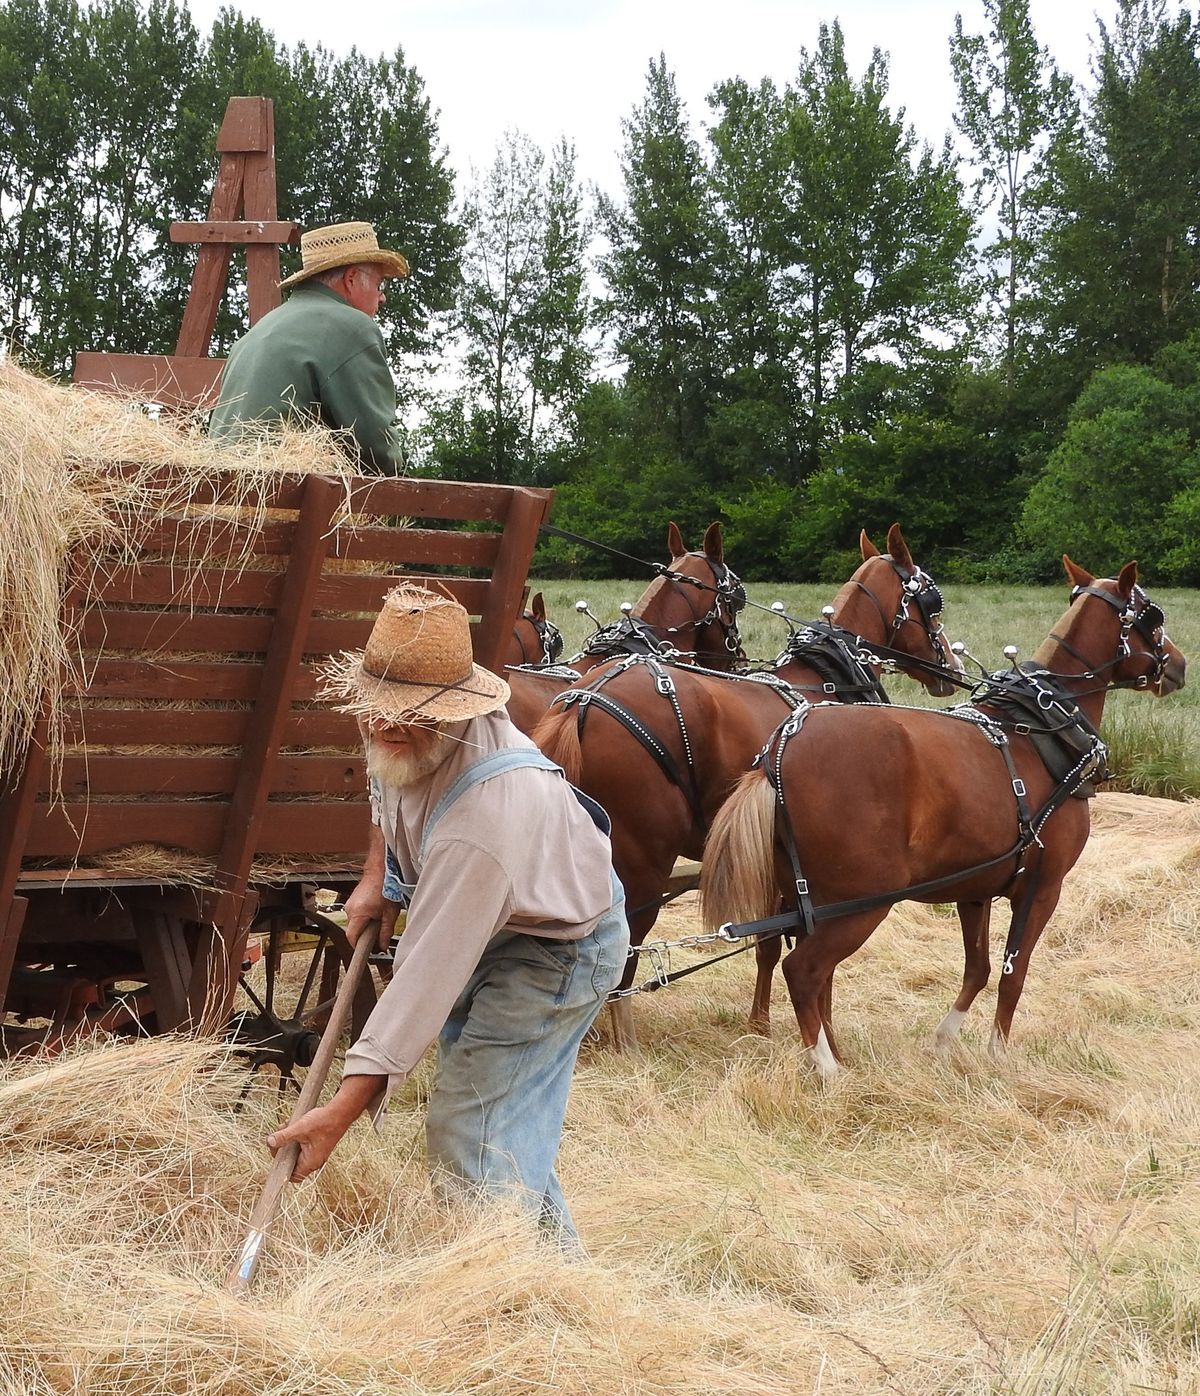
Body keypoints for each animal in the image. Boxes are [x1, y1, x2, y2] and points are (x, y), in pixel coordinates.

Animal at [533, 524, 965, 1049]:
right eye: (933, 603)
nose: (951, 667)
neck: (822, 680)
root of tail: (584, 701)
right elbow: (799, 951)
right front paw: (819, 1034)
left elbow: (770, 942)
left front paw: (760, 1022)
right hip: (644, 859)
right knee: (627, 942)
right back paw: (622, 1037)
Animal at [697, 555, 1183, 1077]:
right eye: (1153, 617)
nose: (1179, 664)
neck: (1041, 730)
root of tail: (779, 750)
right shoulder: (1043, 887)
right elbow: (1013, 973)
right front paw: (998, 1054)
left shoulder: (976, 890)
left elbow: (979, 968)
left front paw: (945, 1039)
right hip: (863, 901)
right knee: (804, 971)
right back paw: (828, 1069)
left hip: (804, 898)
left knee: (796, 963)